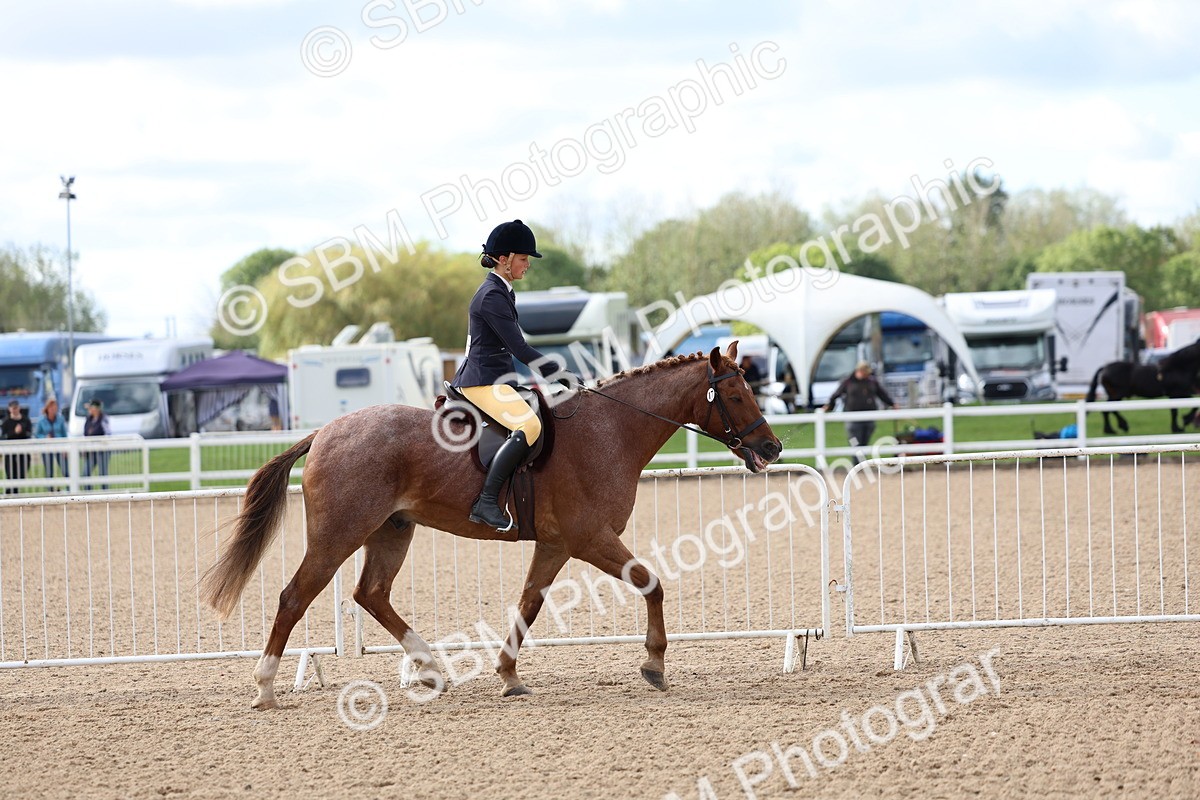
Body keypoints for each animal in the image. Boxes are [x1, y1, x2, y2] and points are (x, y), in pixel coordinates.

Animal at [198, 343, 781, 708]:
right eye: (735, 395)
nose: (774, 447)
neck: (611, 430)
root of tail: (323, 432)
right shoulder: (591, 538)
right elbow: (652, 583)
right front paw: (655, 665)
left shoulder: (556, 545)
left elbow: (528, 604)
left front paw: (508, 675)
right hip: (338, 534)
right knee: (295, 597)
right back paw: (265, 688)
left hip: (392, 530)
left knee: (371, 594)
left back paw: (430, 667)